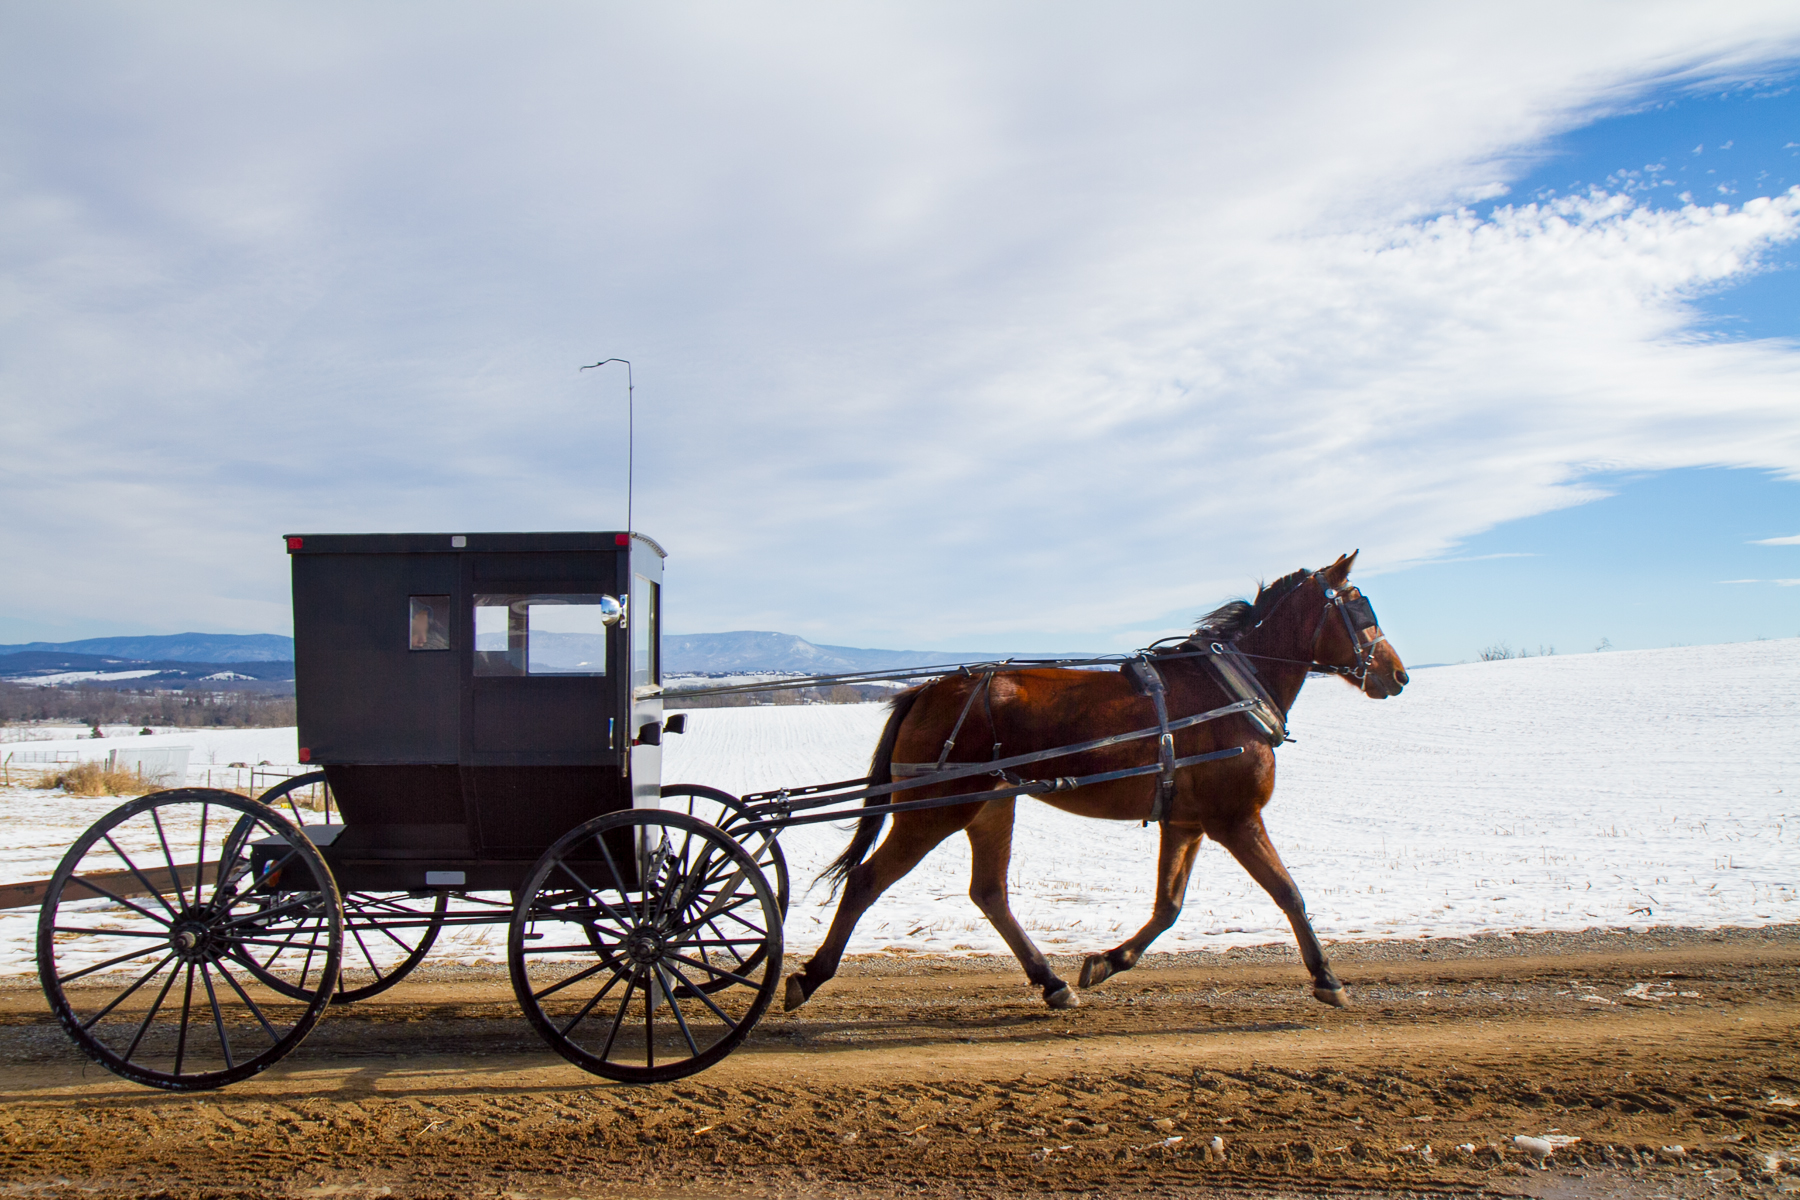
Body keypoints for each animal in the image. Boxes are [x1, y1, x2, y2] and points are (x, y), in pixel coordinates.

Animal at [784, 554, 1404, 1014]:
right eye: (1360, 609)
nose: (1397, 674)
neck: (1229, 691)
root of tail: (928, 691)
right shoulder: (1235, 818)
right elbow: (1288, 892)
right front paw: (1327, 977)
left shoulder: (1186, 821)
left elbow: (1168, 906)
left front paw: (1106, 962)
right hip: (933, 809)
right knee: (866, 881)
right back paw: (810, 975)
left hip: (989, 808)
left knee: (989, 892)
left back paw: (1050, 981)